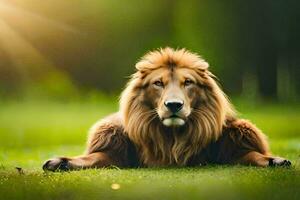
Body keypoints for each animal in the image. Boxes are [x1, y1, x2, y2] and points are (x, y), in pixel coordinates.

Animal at [42, 47, 290, 171]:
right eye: (158, 83)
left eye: (187, 82)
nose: (173, 105)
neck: (172, 136)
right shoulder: (116, 151)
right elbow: (92, 158)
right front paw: (60, 162)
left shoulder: (230, 147)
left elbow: (251, 154)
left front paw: (275, 160)